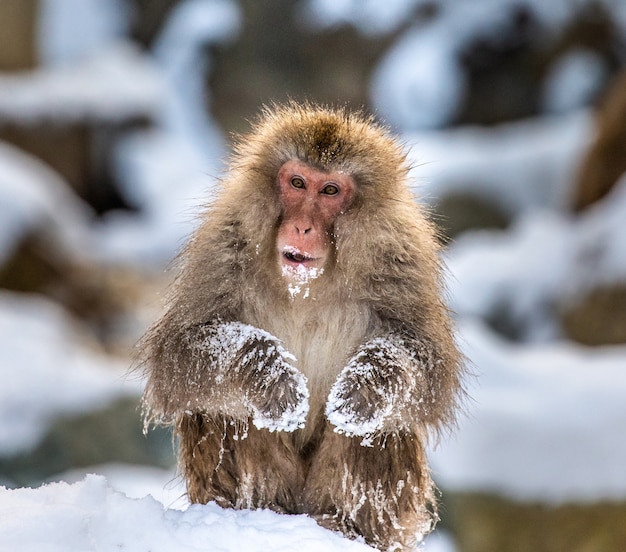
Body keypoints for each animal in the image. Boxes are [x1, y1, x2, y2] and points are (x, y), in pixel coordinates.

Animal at [141, 103, 464, 552]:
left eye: (329, 191)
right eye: (296, 183)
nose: (302, 227)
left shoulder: (402, 257)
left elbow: (429, 369)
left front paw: (366, 384)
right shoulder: (224, 245)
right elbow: (177, 356)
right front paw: (266, 373)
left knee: (380, 422)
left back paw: (343, 523)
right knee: (223, 403)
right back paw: (260, 511)